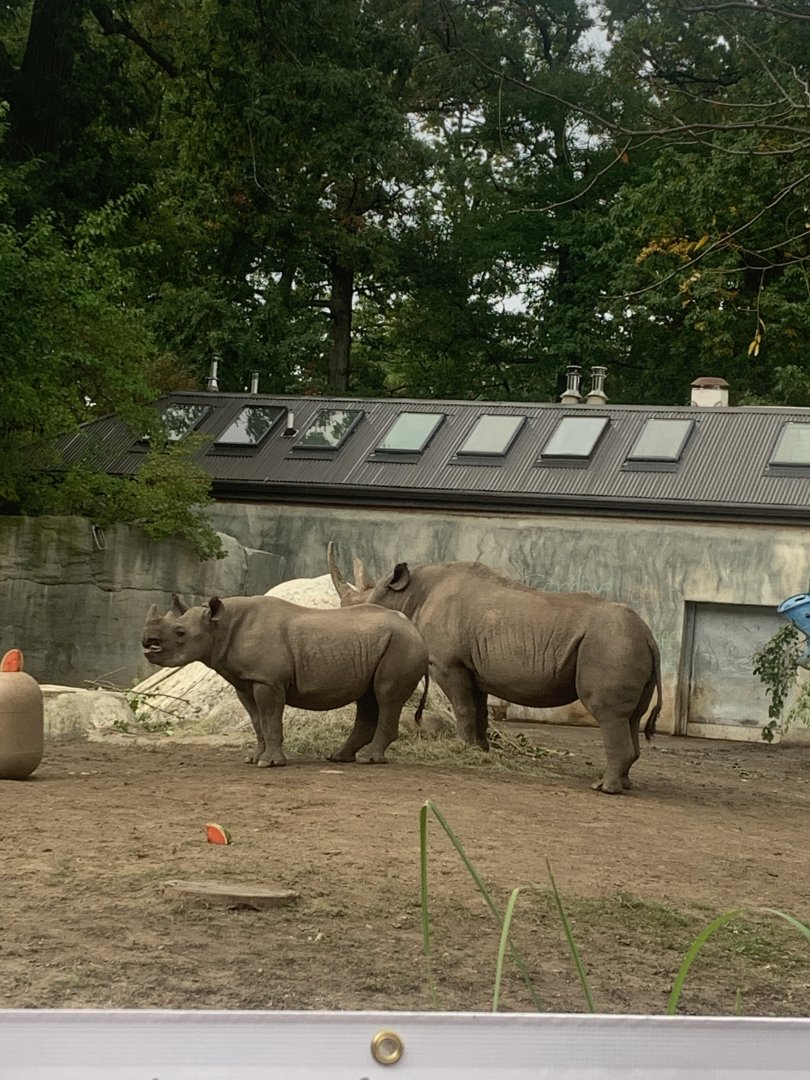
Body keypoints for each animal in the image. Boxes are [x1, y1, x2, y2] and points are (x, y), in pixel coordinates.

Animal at [141, 593, 429, 767]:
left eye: (180, 632)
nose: (146, 642)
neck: (220, 626)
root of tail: (416, 630)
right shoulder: (245, 681)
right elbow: (257, 722)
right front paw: (254, 758)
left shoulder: (267, 681)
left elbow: (270, 720)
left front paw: (270, 763)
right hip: (381, 643)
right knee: (368, 698)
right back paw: (338, 757)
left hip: (402, 645)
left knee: (385, 696)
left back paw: (369, 760)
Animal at [328, 545, 661, 794]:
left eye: (358, 606)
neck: (408, 593)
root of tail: (648, 637)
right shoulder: (474, 669)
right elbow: (479, 711)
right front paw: (481, 751)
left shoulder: (447, 664)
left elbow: (462, 708)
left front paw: (461, 750)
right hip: (625, 644)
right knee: (632, 716)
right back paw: (624, 784)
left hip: (610, 644)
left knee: (608, 713)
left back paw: (604, 788)